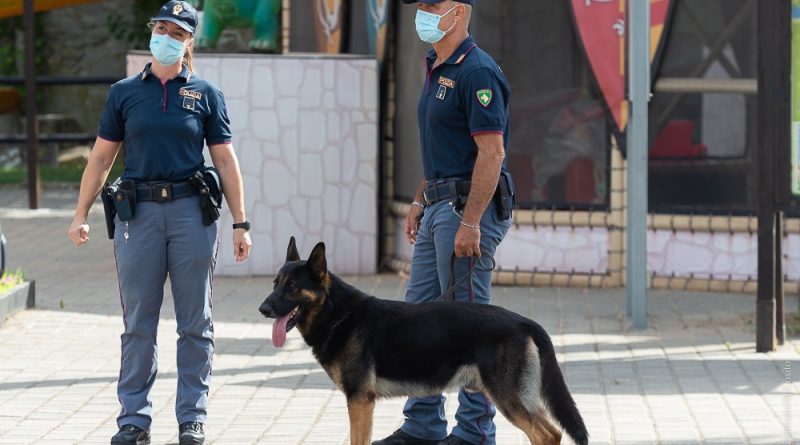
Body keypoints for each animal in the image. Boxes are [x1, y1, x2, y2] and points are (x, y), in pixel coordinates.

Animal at [260, 239, 588, 444]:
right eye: (275, 284)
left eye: (292, 287)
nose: (262, 309)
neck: (339, 313)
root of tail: (523, 320)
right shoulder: (361, 402)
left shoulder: (360, 401)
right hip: (518, 397)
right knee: (552, 433)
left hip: (508, 397)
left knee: (545, 434)